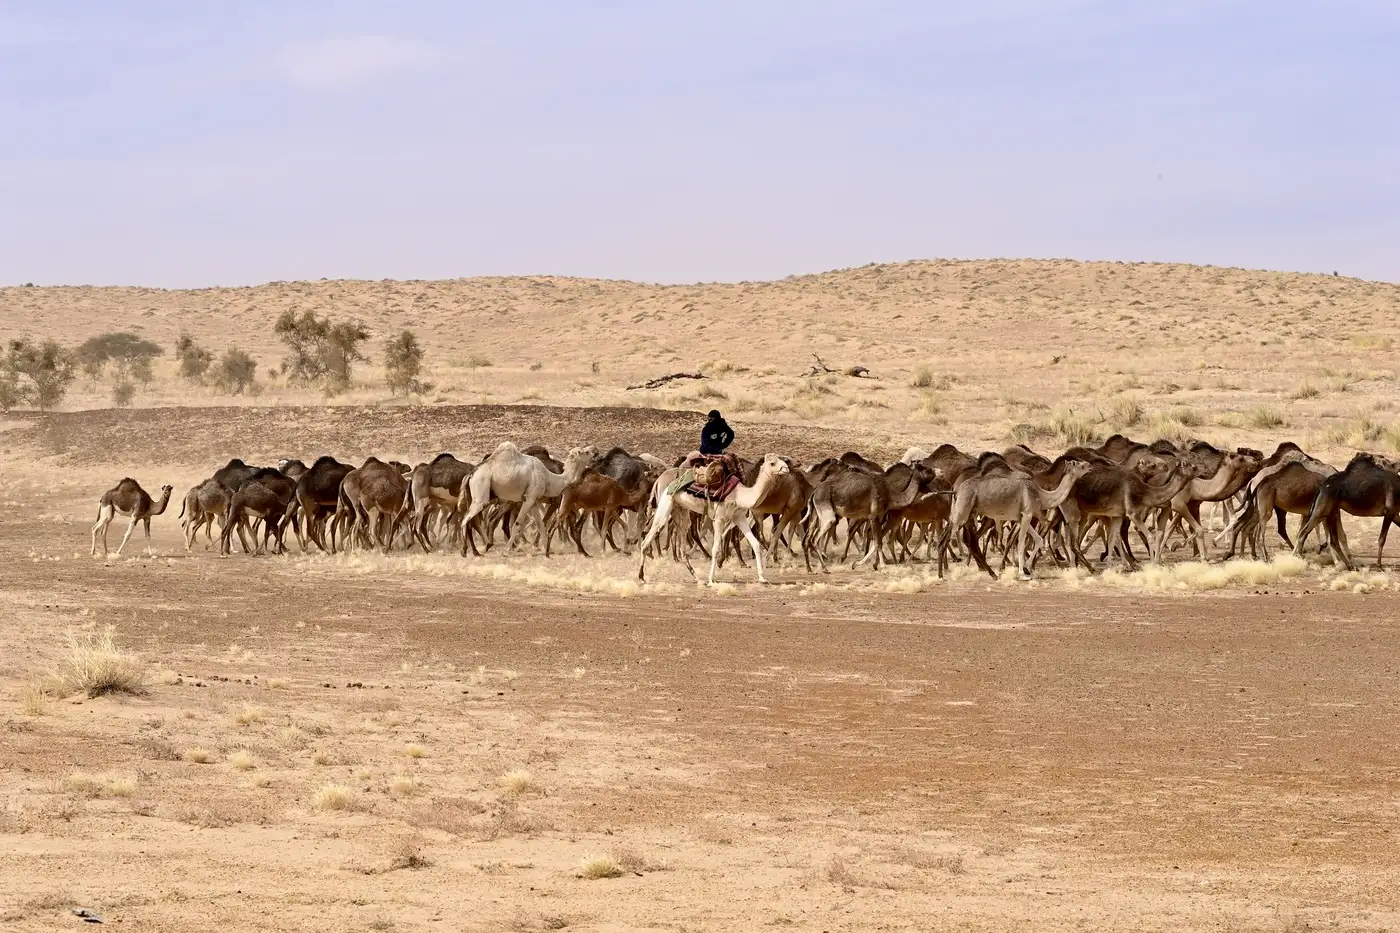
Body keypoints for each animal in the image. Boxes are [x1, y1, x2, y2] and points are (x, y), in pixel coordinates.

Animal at [635, 451, 789, 582]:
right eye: (772, 463)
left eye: (781, 459)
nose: (786, 468)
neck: (739, 495)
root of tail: (659, 480)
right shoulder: (719, 519)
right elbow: (715, 548)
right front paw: (711, 579)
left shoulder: (739, 517)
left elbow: (755, 543)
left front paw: (762, 578)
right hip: (665, 504)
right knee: (651, 532)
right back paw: (641, 575)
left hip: (680, 510)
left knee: (681, 538)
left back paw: (696, 577)